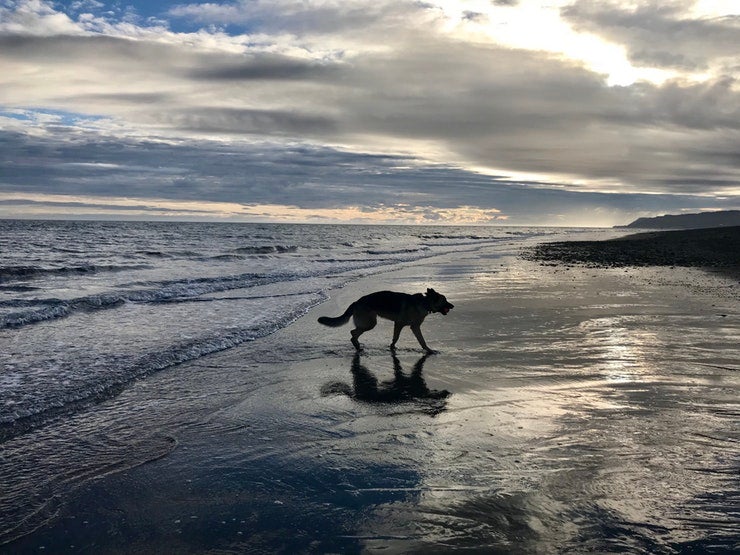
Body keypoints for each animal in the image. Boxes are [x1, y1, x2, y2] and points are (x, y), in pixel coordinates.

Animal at [316, 288, 454, 354]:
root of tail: (356, 302)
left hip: (369, 323)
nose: (453, 306)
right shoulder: (404, 325)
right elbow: (402, 338)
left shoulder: (408, 326)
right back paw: (357, 346)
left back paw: (357, 346)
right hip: (370, 324)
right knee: (353, 333)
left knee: (354, 333)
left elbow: (415, 340)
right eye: (445, 300)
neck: (425, 302)